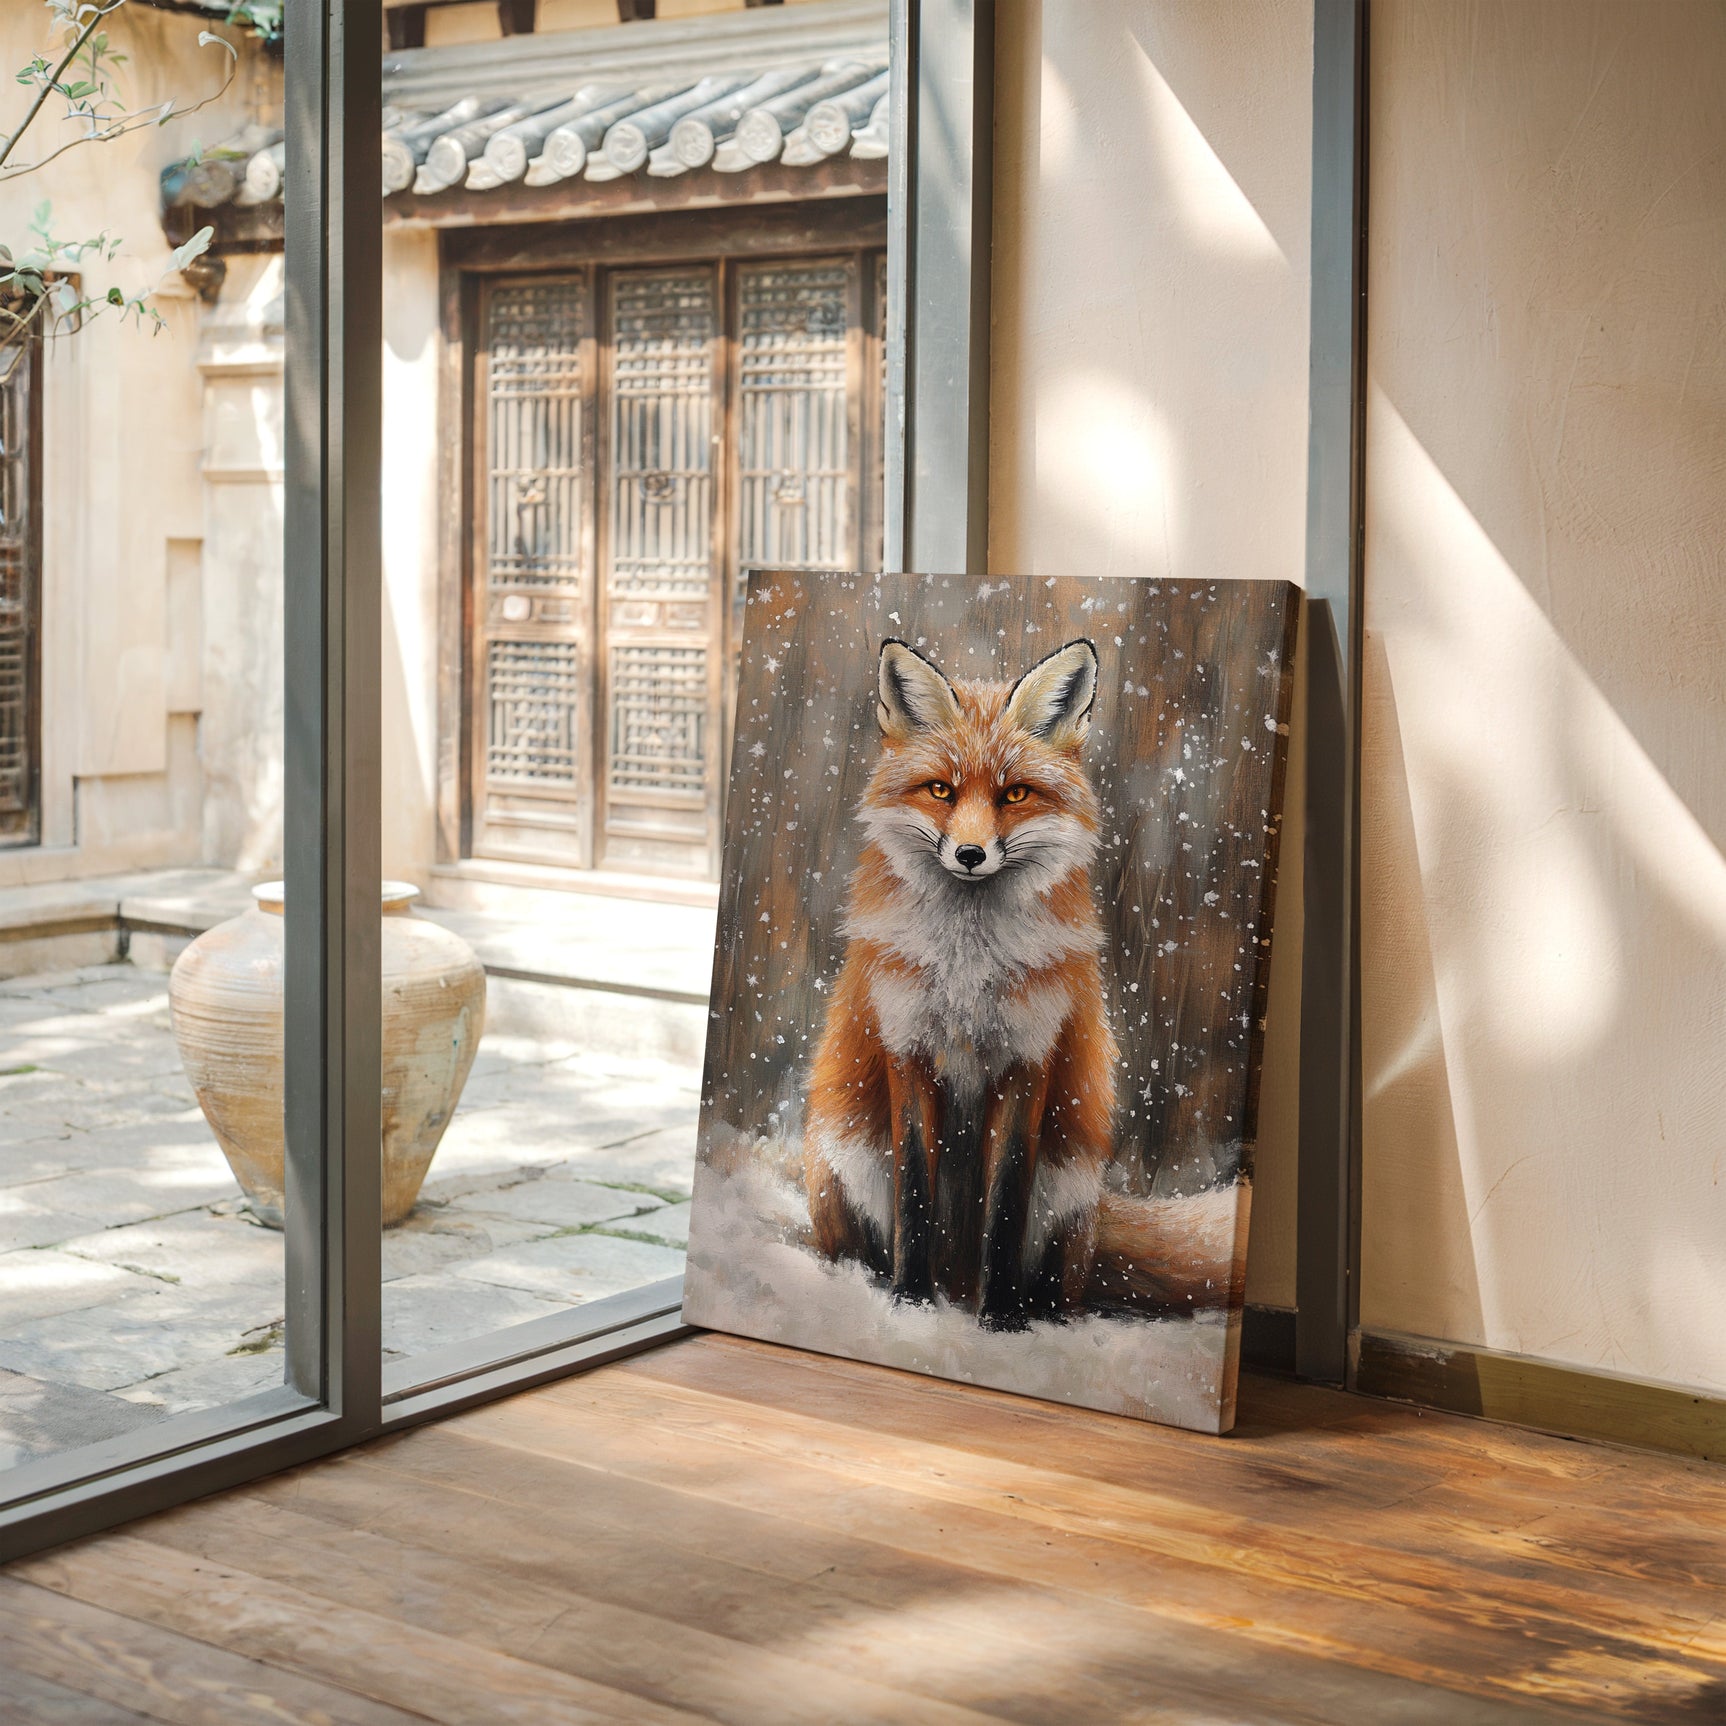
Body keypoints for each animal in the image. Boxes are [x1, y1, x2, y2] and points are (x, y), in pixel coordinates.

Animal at [802, 636, 1118, 1327]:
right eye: (941, 790)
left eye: (1016, 795)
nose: (970, 855)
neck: (968, 968)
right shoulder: (907, 1046)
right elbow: (914, 1192)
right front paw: (910, 1301)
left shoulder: (1029, 1057)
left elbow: (1004, 1204)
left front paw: (1001, 1319)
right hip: (844, 1151)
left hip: (1071, 1186)